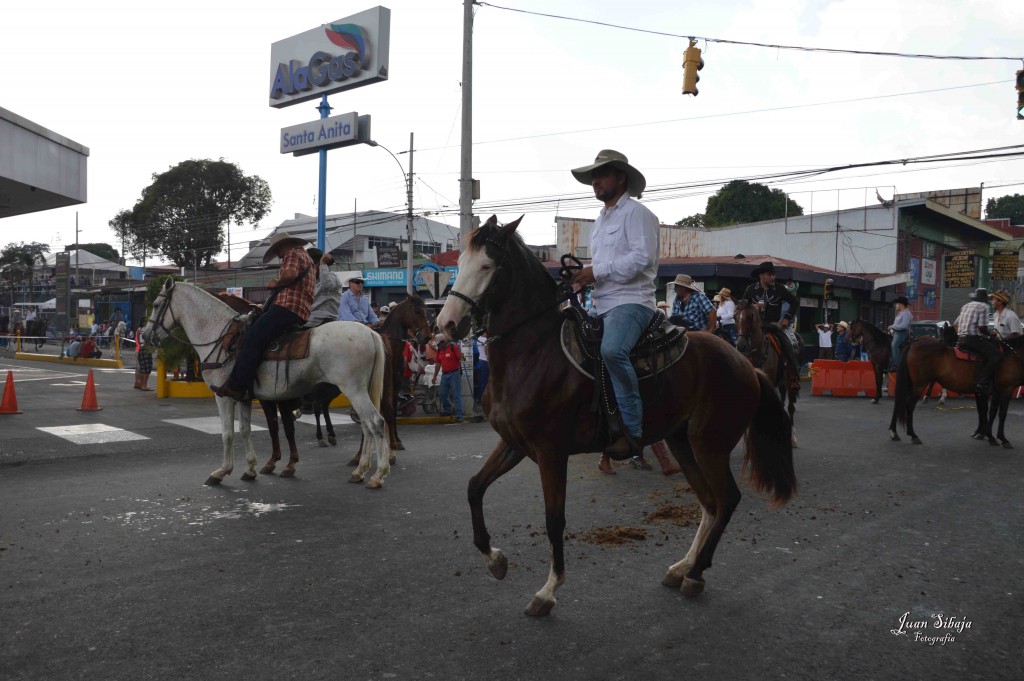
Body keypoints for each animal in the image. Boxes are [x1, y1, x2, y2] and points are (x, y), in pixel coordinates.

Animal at [146, 278, 393, 485]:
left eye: (157, 305)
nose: (146, 334)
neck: (222, 337)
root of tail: (370, 333)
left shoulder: (223, 396)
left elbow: (228, 433)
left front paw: (221, 472)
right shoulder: (242, 396)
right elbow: (244, 430)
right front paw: (250, 469)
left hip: (354, 390)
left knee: (376, 422)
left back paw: (378, 474)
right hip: (360, 391)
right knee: (367, 426)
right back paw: (360, 470)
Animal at [737, 296, 798, 446]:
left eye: (750, 317)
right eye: (735, 316)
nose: (740, 345)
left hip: (790, 383)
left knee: (791, 407)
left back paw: (792, 438)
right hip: (781, 383)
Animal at [888, 333, 1024, 446]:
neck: (1010, 356)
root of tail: (913, 344)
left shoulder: (988, 392)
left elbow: (986, 412)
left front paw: (985, 434)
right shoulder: (1006, 390)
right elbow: (1000, 414)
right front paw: (1001, 438)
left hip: (911, 383)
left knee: (899, 403)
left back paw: (894, 432)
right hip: (919, 385)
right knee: (909, 405)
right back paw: (913, 435)